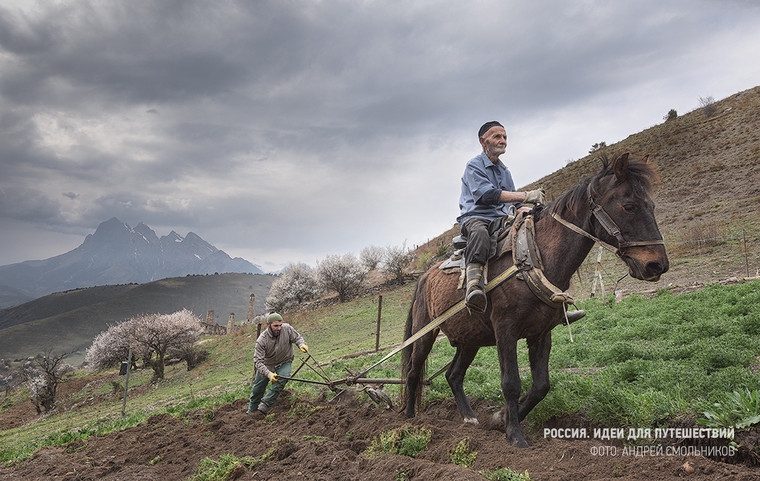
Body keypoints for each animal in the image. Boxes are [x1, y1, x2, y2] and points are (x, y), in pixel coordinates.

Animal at [400, 153, 668, 446]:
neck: (532, 257)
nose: (657, 265)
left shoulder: (541, 332)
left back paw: (469, 417)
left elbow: (541, 385)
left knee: (454, 375)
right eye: (629, 205)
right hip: (425, 333)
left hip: (470, 338)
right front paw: (515, 435)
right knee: (413, 371)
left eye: (651, 204)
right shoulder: (505, 331)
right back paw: (410, 419)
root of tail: (424, 277)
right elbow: (511, 383)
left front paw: (502, 419)